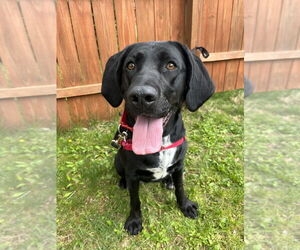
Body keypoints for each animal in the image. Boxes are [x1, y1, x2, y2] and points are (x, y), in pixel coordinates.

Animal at [102, 40, 214, 234]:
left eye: (171, 65)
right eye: (130, 65)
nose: (140, 96)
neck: (160, 142)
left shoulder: (179, 166)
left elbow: (180, 188)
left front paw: (185, 205)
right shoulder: (132, 174)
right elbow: (135, 201)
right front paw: (134, 220)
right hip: (118, 161)